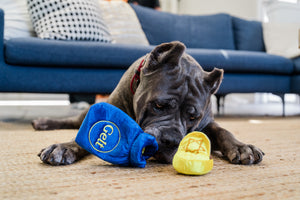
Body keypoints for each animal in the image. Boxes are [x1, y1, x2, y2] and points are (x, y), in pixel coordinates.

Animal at [33, 41, 264, 166]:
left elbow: (223, 131)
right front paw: (63, 148)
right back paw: (43, 122)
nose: (171, 140)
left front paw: (243, 147)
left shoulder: (207, 124)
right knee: (73, 120)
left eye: (193, 117)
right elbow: (87, 135)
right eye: (159, 105)